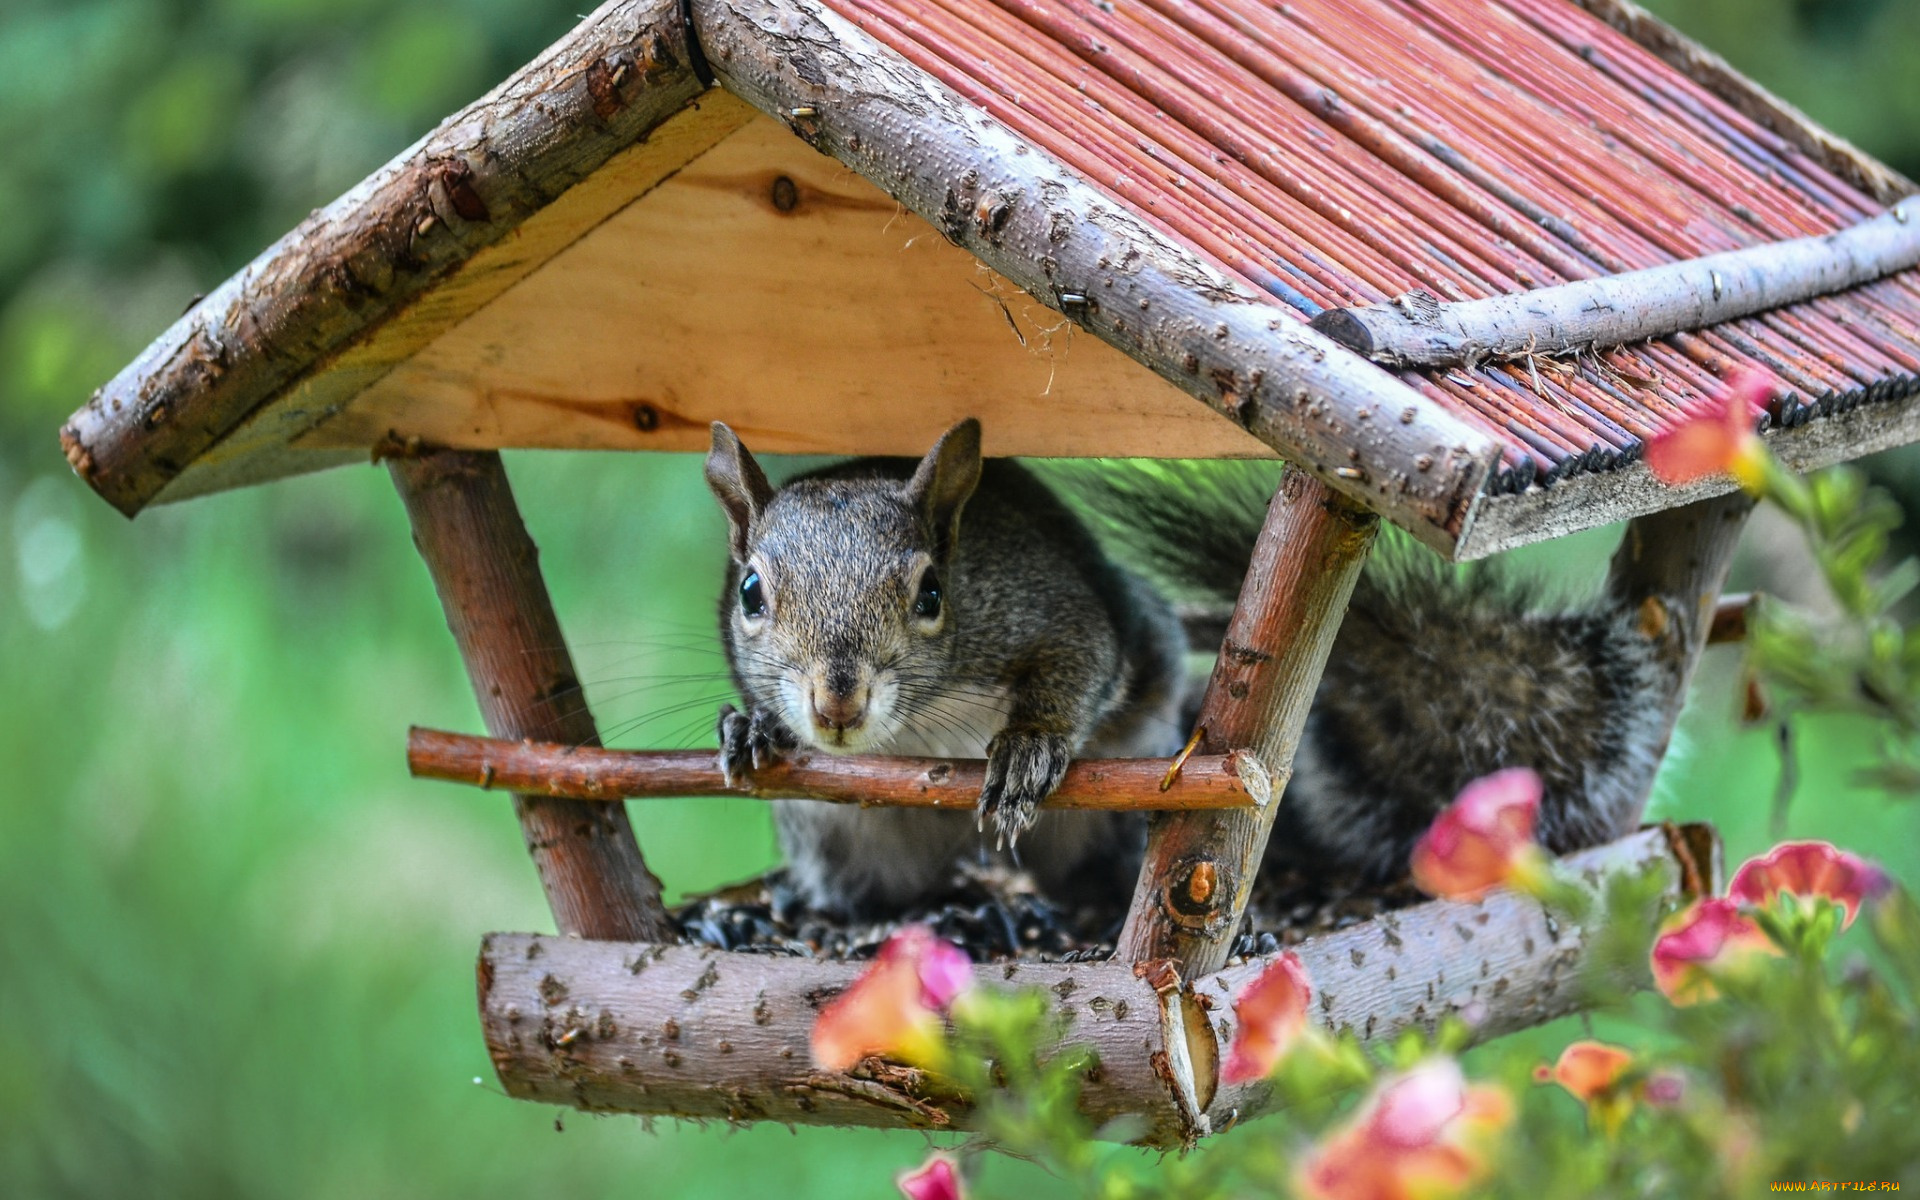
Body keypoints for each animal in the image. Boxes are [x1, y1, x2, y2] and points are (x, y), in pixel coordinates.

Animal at [714, 416, 1674, 913]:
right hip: (844, 843)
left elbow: (1077, 665)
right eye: (750, 592)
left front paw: (1027, 748)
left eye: (932, 593)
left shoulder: (1054, 608)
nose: (836, 703)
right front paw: (748, 727)